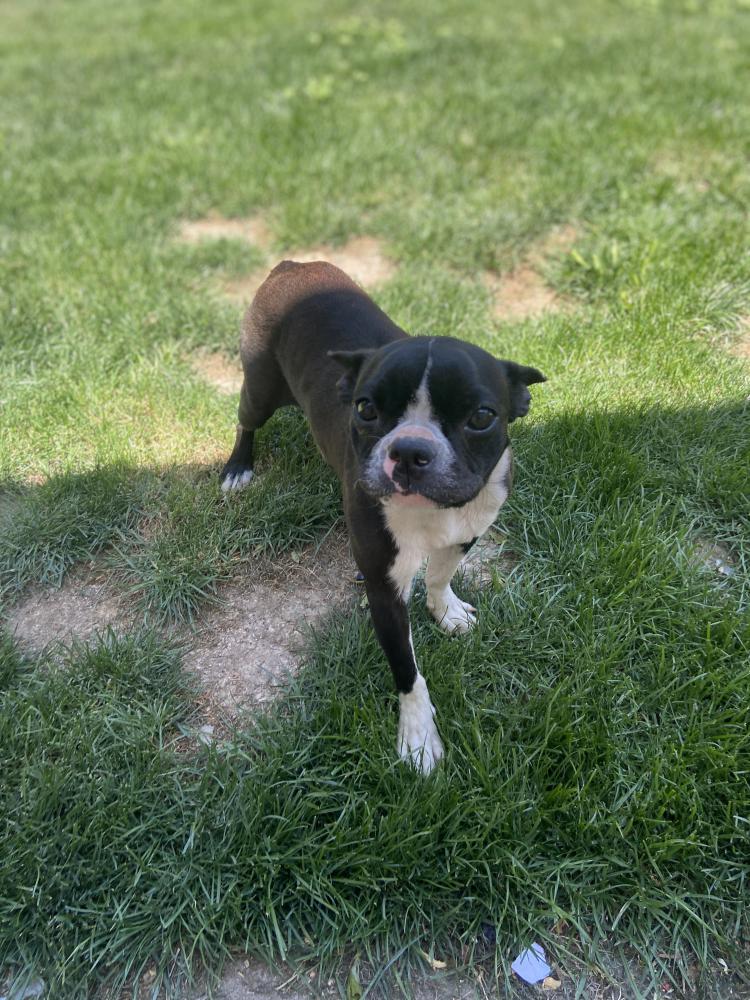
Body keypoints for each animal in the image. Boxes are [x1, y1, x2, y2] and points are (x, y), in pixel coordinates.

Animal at [221, 260, 545, 774]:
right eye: (366, 408)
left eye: (481, 417)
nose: (410, 450)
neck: (432, 513)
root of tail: (294, 265)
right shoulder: (384, 590)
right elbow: (407, 672)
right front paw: (418, 737)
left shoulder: (468, 530)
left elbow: (441, 575)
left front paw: (446, 610)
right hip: (259, 384)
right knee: (246, 420)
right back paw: (238, 467)